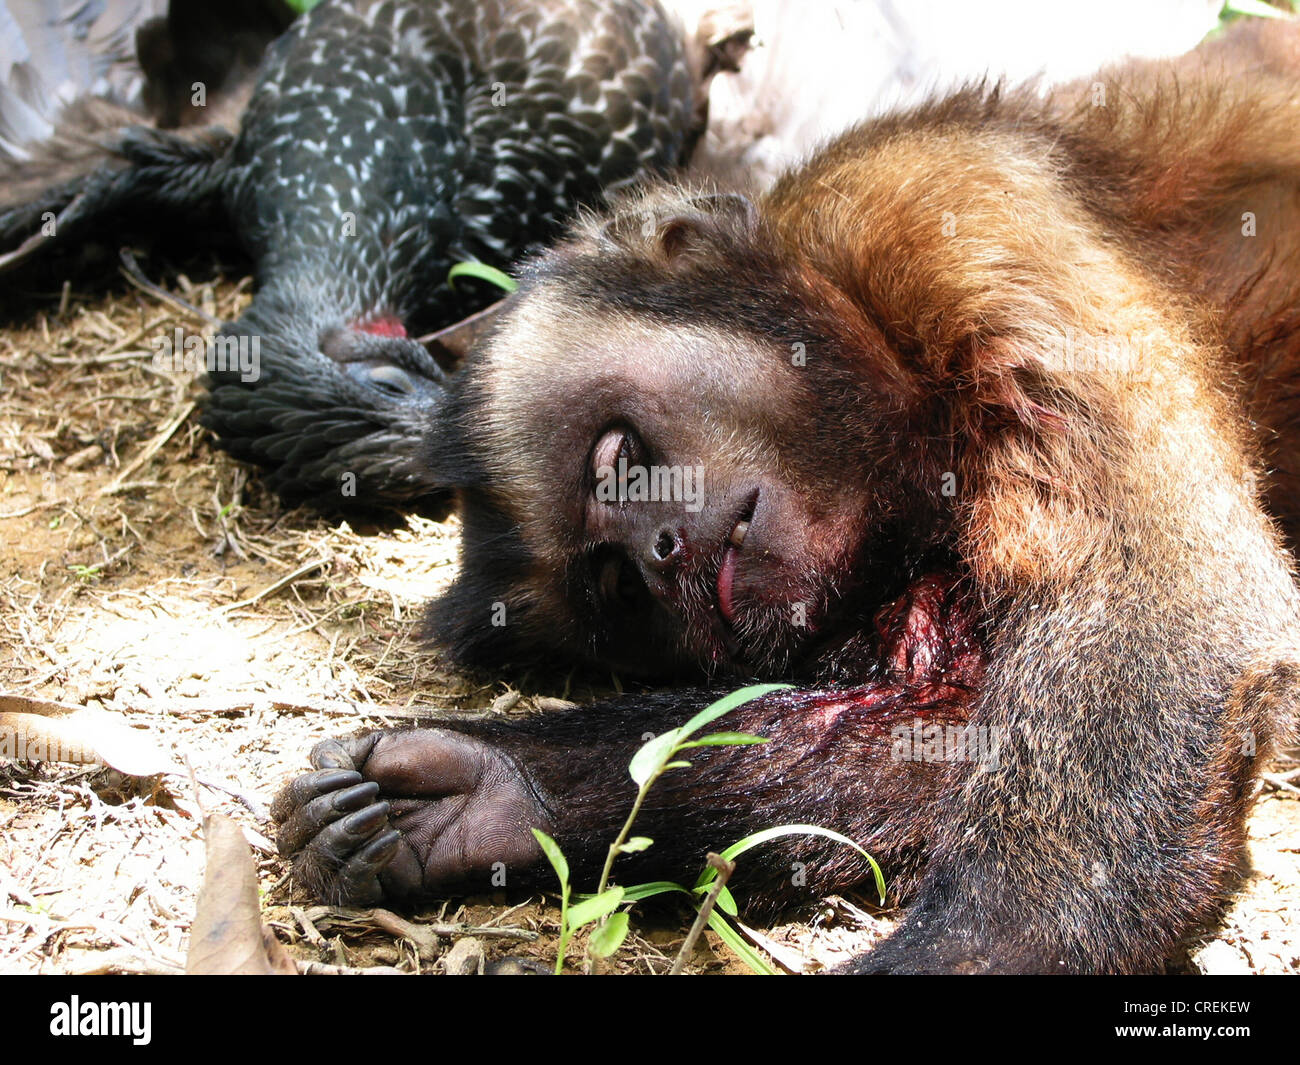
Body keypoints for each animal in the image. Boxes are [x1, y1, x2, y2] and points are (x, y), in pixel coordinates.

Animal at [271, 25, 1300, 972]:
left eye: (618, 458)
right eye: (618, 590)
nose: (662, 552)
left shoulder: (941, 209)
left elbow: (1172, 611)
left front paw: (971, 950)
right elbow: (955, 719)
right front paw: (498, 794)